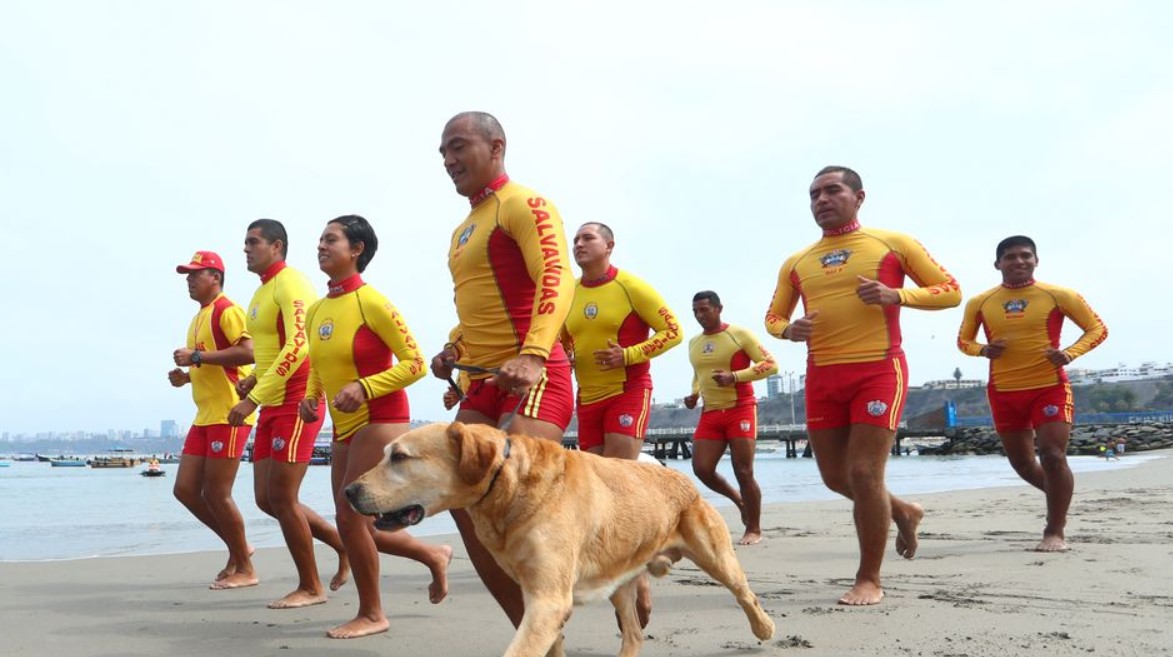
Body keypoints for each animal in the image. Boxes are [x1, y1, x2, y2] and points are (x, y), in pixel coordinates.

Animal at [342, 420, 774, 657]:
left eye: (399, 457)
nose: (348, 491)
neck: (509, 486)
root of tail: (674, 473)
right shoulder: (535, 596)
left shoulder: (548, 600)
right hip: (619, 577)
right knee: (634, 634)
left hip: (714, 554)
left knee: (745, 594)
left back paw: (764, 628)